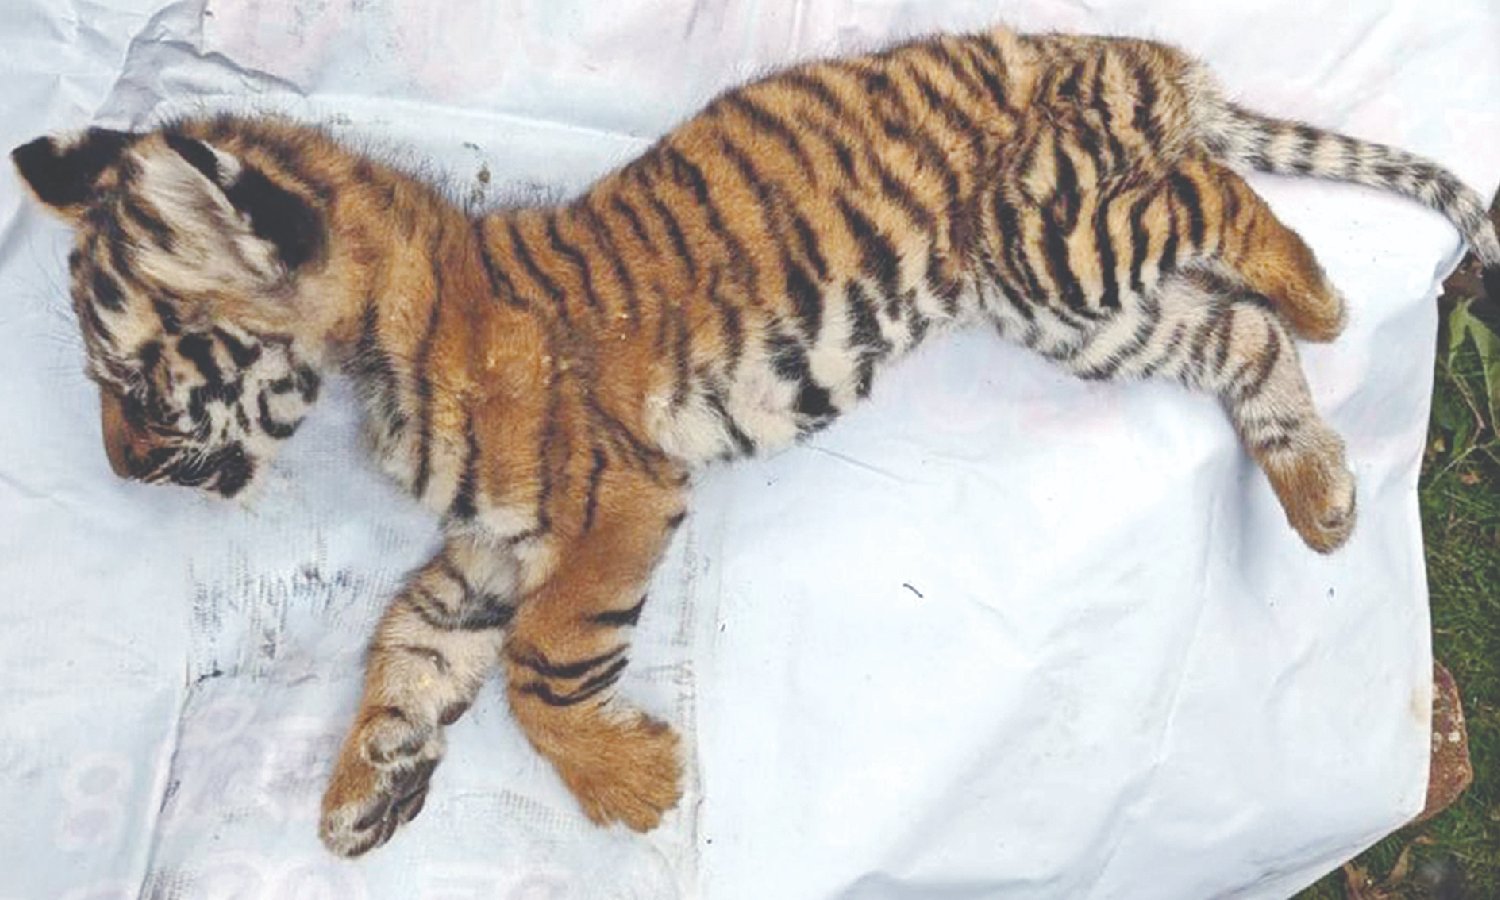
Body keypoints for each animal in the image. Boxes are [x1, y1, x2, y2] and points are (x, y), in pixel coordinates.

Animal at [12, 25, 1500, 857]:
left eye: (136, 378)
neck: (379, 341)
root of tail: (1094, 49)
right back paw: (1319, 494)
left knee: (1221, 198)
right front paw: (364, 789)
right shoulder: (490, 544)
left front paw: (633, 786)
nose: (117, 471)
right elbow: (415, 650)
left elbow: (541, 670)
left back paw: (1319, 290)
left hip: (1059, 231)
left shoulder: (611, 500)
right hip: (1072, 309)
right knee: (1233, 336)